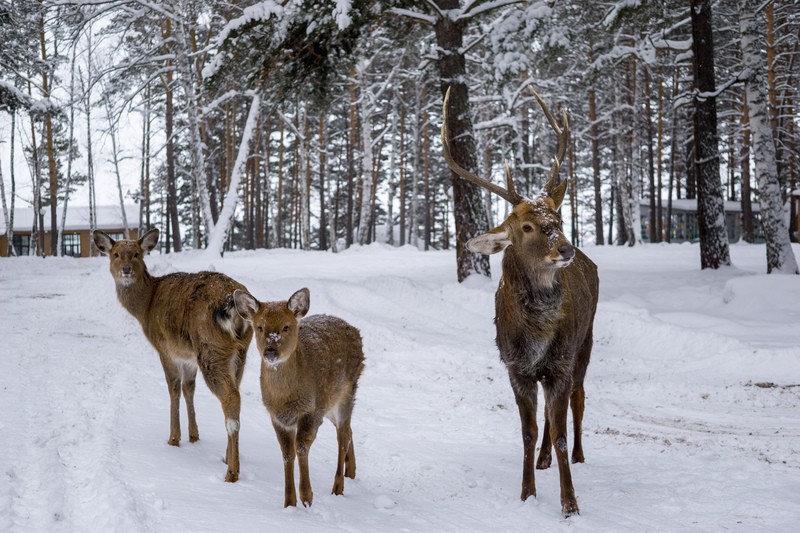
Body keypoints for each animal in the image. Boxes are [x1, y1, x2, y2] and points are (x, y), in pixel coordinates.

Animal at [93, 229, 253, 482]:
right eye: (116, 254)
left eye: (136, 254)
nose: (126, 269)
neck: (145, 307)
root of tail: (233, 304)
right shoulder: (187, 355)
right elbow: (189, 388)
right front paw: (194, 435)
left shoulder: (165, 347)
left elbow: (173, 388)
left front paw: (173, 439)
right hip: (239, 354)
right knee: (235, 393)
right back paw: (227, 457)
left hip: (210, 348)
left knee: (231, 398)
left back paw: (231, 472)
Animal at [234, 286, 366, 508]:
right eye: (259, 327)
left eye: (286, 327)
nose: (270, 350)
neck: (285, 399)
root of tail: (356, 331)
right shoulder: (277, 416)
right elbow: (287, 452)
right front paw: (289, 502)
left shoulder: (311, 410)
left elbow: (301, 447)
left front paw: (307, 498)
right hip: (329, 404)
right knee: (349, 430)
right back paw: (351, 472)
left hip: (346, 392)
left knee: (343, 435)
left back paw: (338, 486)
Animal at [440, 87, 596, 516]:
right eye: (526, 226)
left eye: (558, 217)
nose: (566, 248)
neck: (537, 335)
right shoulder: (515, 366)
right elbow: (528, 431)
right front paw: (527, 492)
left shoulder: (560, 363)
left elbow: (560, 432)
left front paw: (570, 503)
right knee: (548, 414)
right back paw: (542, 461)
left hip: (585, 343)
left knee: (578, 399)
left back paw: (579, 454)